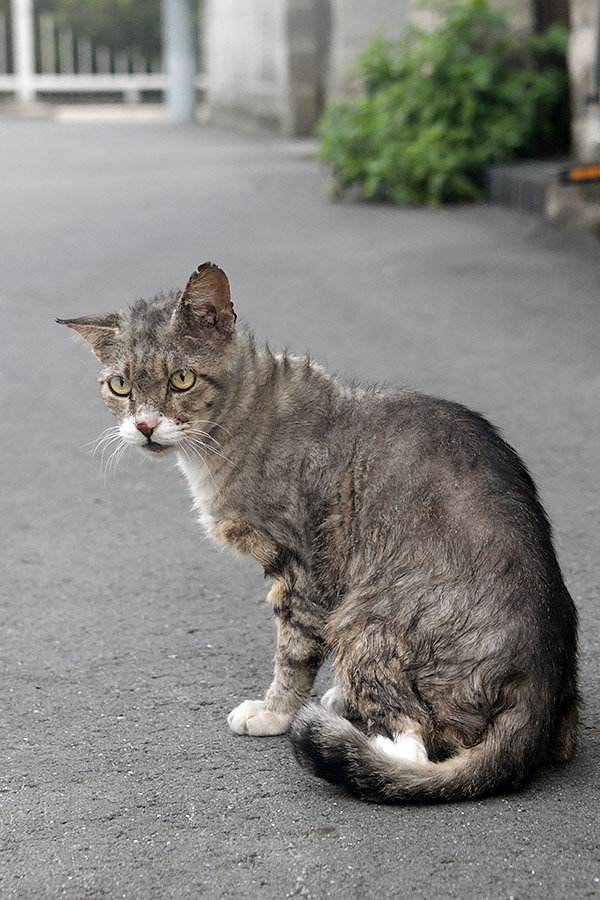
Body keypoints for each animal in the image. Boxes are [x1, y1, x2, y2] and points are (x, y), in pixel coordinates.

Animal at [58, 260, 580, 800]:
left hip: (363, 620)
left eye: (181, 379)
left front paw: (274, 712)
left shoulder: (301, 569)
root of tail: (536, 694)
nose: (144, 426)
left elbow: (292, 653)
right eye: (120, 386)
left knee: (411, 744)